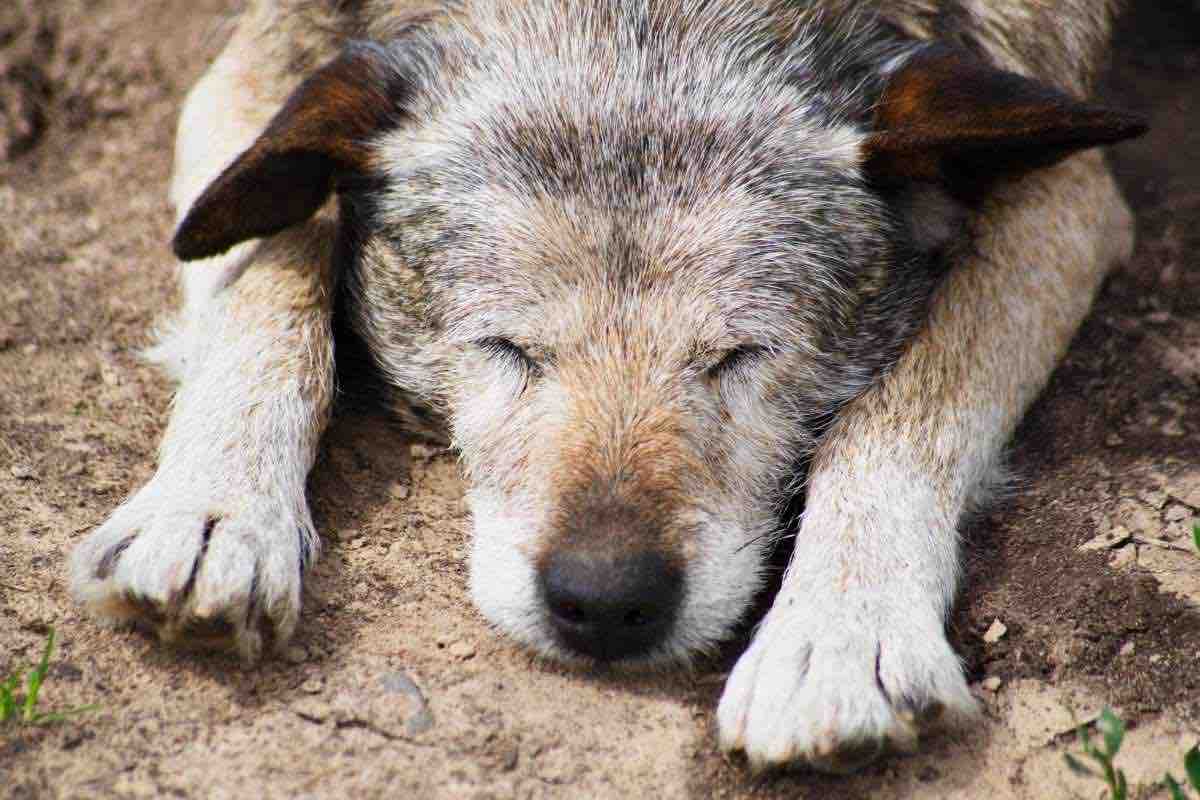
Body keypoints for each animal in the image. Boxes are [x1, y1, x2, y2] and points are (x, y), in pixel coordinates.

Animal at [68, 0, 1142, 777]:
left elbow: (901, 409)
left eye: (739, 357)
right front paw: (213, 512)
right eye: (507, 348)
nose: (606, 604)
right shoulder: (258, 71)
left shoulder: (1069, 193)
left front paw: (841, 632)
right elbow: (271, 275)